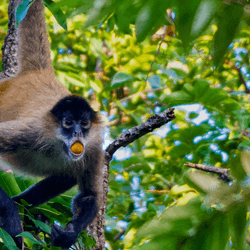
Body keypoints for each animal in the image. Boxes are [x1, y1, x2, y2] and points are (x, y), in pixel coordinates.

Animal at [0, 0, 104, 248]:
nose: (77, 133)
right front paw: (10, 214)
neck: (59, 146)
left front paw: (69, 234)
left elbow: (89, 195)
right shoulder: (31, 132)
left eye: (84, 123)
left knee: (67, 175)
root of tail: (39, 73)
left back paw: (26, 209)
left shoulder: (94, 145)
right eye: (68, 123)